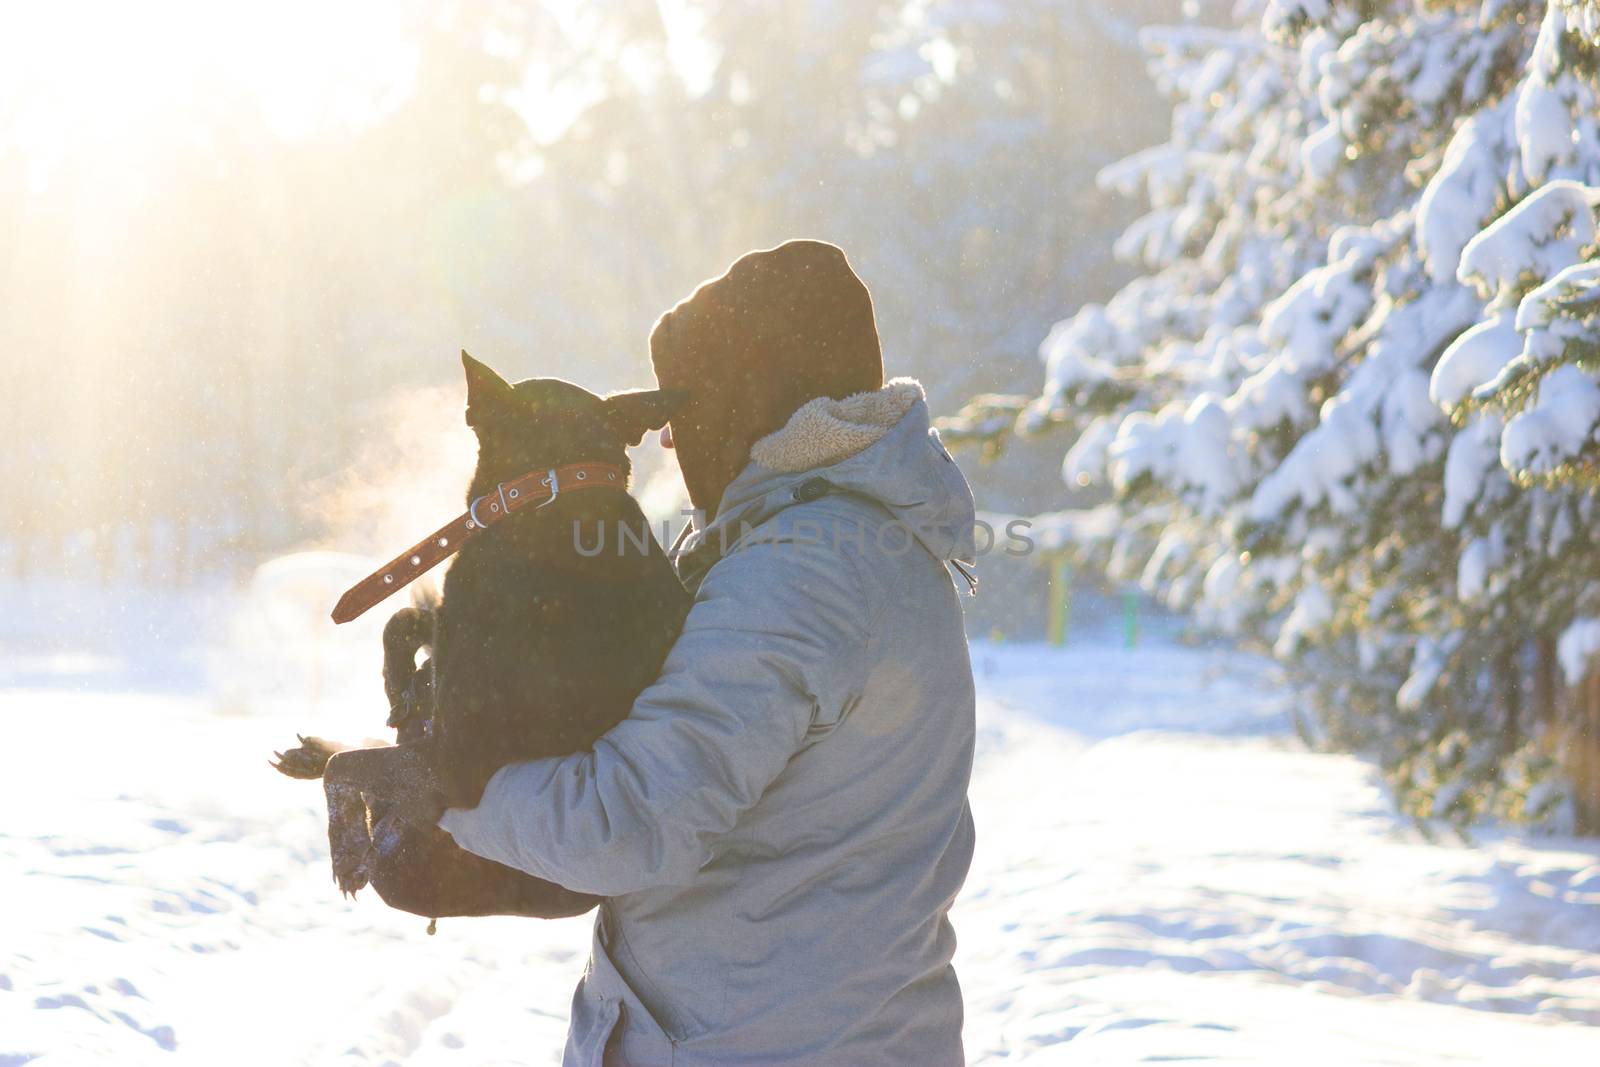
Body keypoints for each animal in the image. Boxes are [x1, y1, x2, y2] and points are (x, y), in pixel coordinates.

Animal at [275, 355, 688, 921]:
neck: (548, 493)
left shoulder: (459, 760)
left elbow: (348, 770)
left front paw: (346, 849)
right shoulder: (449, 639)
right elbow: (401, 621)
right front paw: (401, 687)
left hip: (413, 855)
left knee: (371, 775)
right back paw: (319, 750)